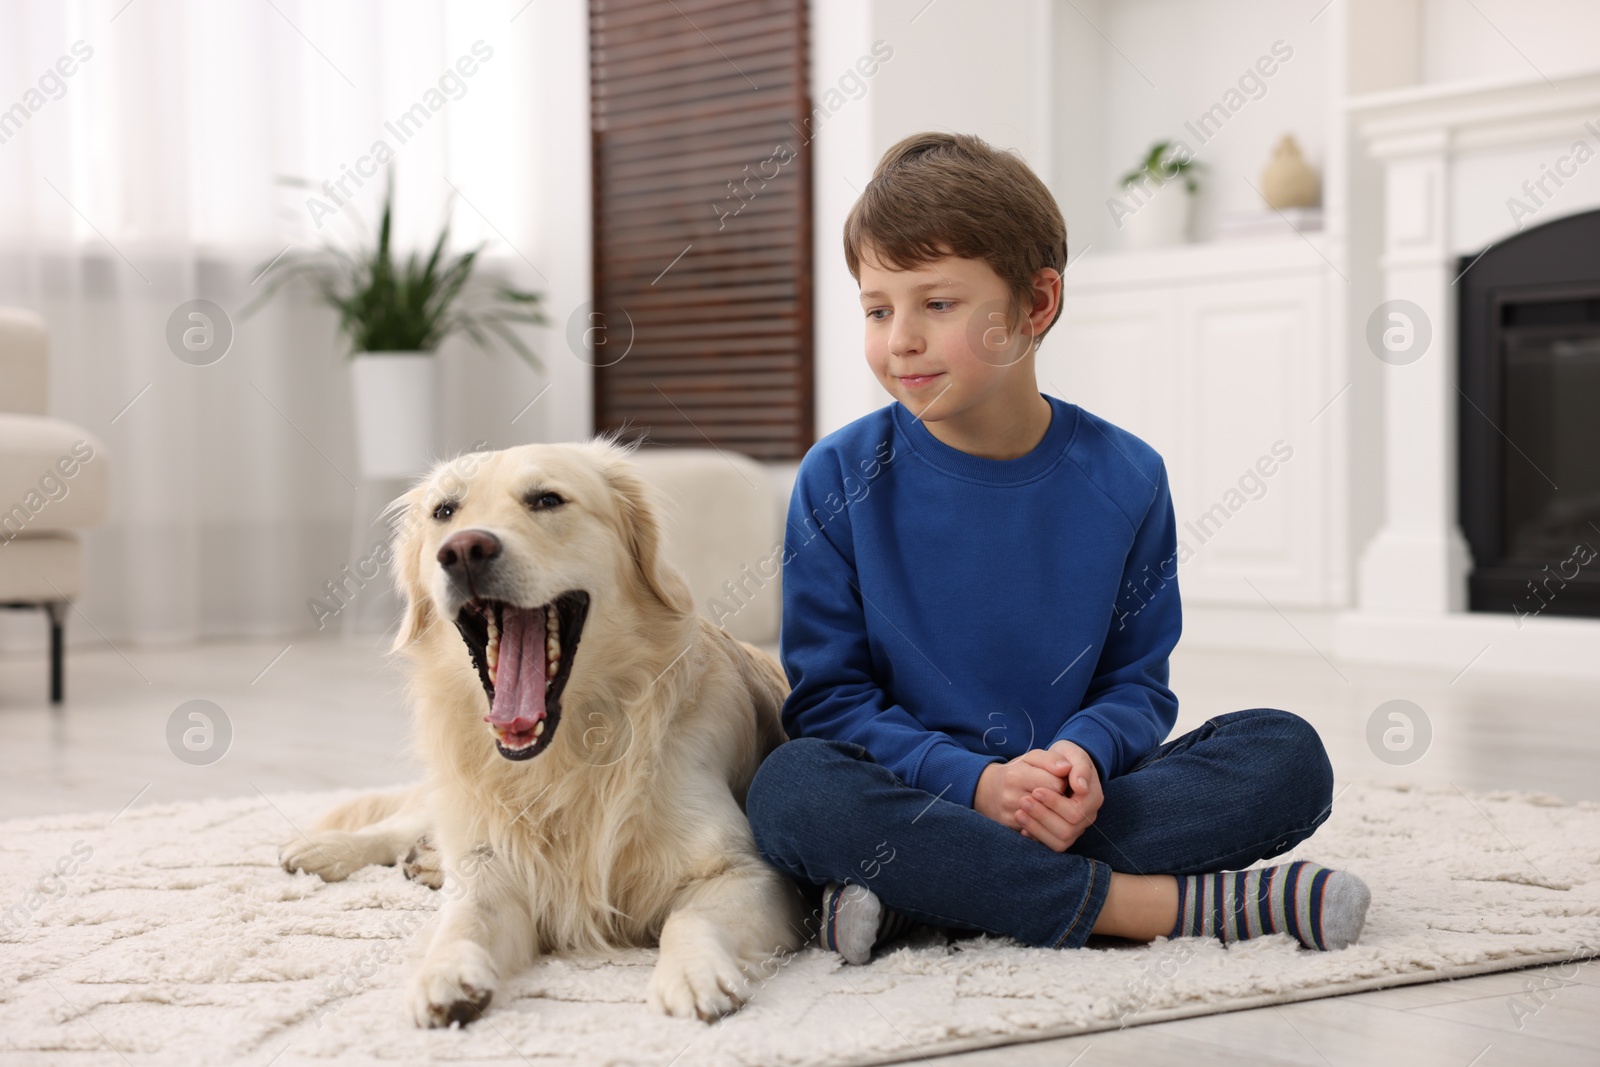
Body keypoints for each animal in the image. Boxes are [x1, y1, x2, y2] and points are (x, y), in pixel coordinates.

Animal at [273, 435, 812, 1023]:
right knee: (401, 826)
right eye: (444, 512)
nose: (463, 550)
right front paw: (444, 972)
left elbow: (688, 917)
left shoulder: (748, 873)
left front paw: (693, 974)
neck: (567, 751)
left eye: (547, 500)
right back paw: (325, 849)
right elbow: (464, 918)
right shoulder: (493, 869)